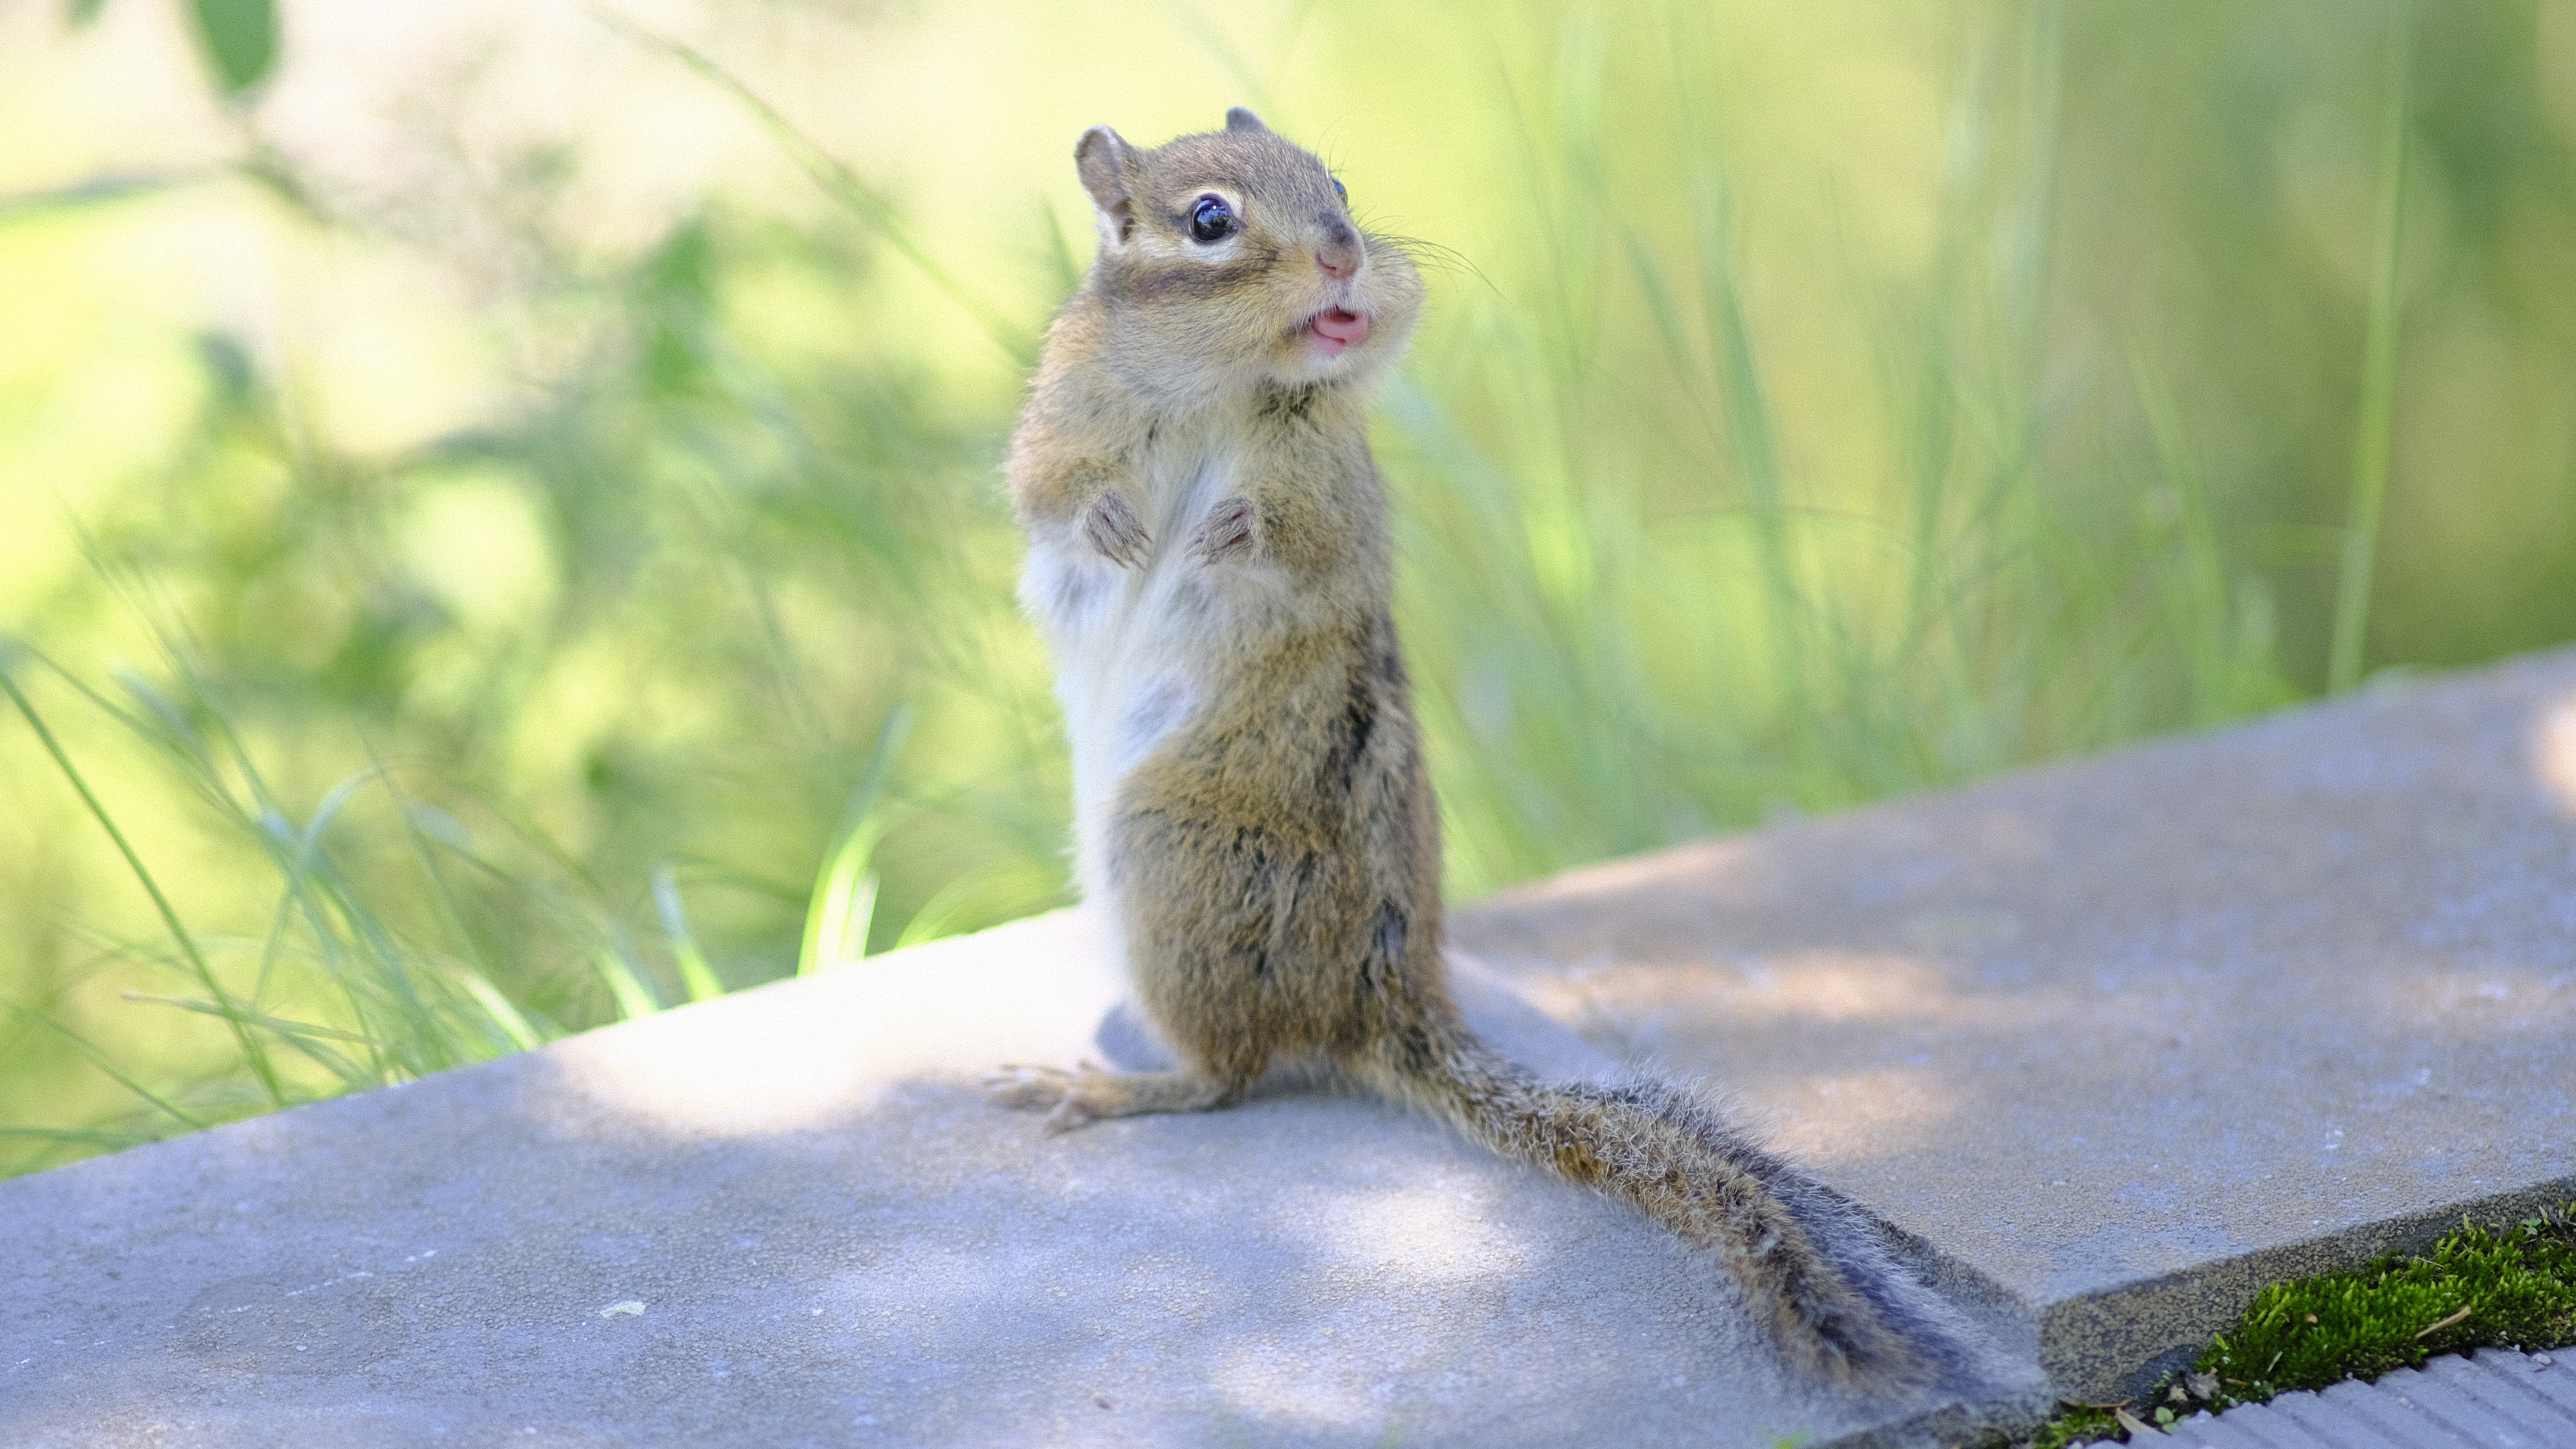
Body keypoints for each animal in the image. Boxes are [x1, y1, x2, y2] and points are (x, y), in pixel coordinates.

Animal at [989, 109, 1956, 1394]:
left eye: (1339, 183)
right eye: (1208, 219)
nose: (1346, 254)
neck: (1221, 384)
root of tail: (1382, 999)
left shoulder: (1333, 482)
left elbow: (1302, 541)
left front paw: (1228, 529)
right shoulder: (1060, 413)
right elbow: (1047, 489)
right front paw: (1111, 519)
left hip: (1167, 857)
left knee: (1229, 1075)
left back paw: (1107, 1083)